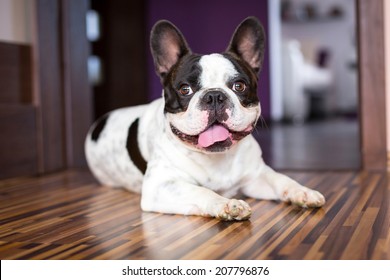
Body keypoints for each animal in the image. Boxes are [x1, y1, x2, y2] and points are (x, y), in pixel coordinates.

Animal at [86, 17, 326, 221]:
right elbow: (201, 191)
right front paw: (226, 204)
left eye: (239, 86)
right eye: (185, 89)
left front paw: (302, 192)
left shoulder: (256, 177)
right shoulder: (161, 186)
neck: (217, 158)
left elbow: (281, 179)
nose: (214, 96)